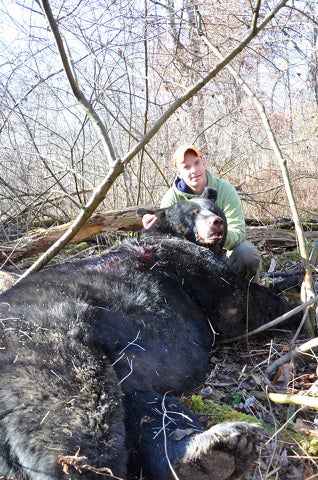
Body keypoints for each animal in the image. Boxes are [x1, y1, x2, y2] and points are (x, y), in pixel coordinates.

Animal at [0, 189, 300, 478]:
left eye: (213, 208)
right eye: (192, 212)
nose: (217, 222)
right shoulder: (192, 266)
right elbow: (238, 303)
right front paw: (300, 310)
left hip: (120, 365)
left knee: (145, 406)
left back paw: (213, 451)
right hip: (50, 348)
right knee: (78, 419)